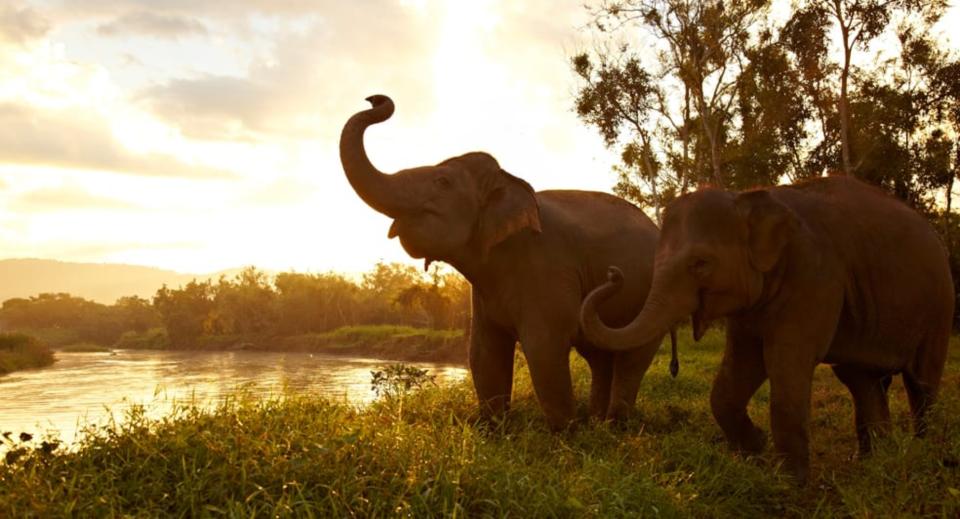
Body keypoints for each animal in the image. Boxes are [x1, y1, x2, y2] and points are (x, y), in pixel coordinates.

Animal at [342, 95, 672, 428]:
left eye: (443, 182)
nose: (375, 99)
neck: (510, 182)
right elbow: (483, 351)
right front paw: (494, 429)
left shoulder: (547, 266)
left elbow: (543, 347)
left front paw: (565, 433)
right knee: (600, 356)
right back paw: (598, 423)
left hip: (652, 295)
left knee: (631, 358)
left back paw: (614, 425)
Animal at [576, 176, 952, 484]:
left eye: (701, 264)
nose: (613, 273)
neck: (746, 197)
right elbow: (740, 367)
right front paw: (754, 452)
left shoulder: (815, 275)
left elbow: (785, 362)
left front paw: (790, 483)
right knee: (861, 380)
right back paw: (871, 462)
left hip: (939, 307)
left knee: (921, 381)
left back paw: (922, 456)